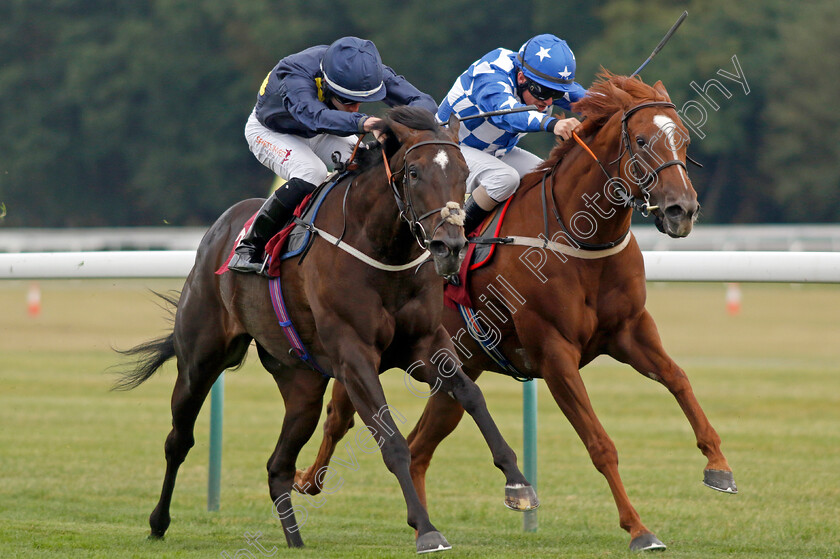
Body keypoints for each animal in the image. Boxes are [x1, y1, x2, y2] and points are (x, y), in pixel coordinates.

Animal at [115, 106, 540, 556]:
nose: (450, 246)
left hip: (300, 383)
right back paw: (158, 522)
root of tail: (218, 230)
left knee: (278, 465)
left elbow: (472, 396)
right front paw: (426, 529)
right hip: (200, 358)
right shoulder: (355, 356)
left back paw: (295, 539)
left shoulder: (425, 343)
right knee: (179, 439)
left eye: (464, 172)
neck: (383, 251)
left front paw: (518, 485)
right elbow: (391, 440)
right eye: (413, 173)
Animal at [294, 73, 736, 552]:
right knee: (340, 418)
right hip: (366, 351)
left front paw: (719, 466)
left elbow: (678, 379)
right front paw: (639, 529)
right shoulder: (555, 354)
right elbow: (599, 443)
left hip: (452, 371)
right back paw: (307, 480)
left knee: (417, 448)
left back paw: (418, 523)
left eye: (684, 139)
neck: (578, 240)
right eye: (640, 140)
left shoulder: (631, 331)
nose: (682, 210)